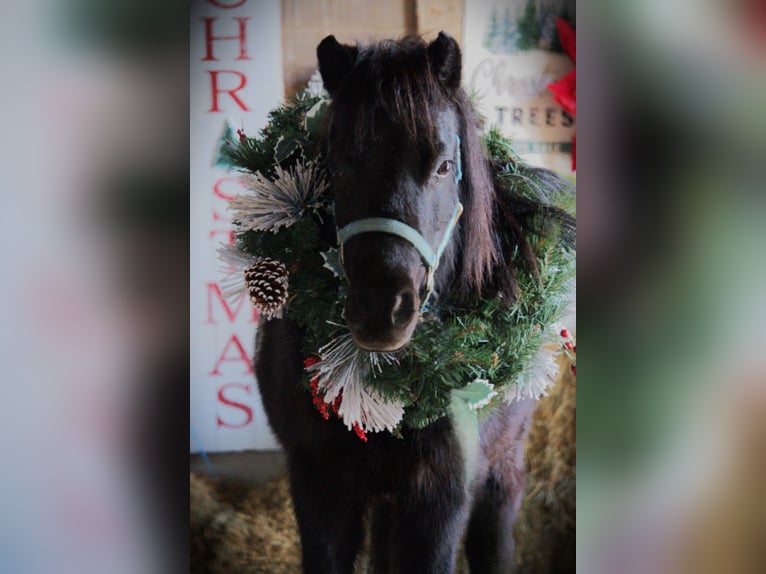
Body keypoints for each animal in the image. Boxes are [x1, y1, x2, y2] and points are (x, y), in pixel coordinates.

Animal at [254, 32, 573, 574]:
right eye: (336, 164)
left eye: (444, 165)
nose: (381, 312)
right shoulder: (318, 485)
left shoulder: (440, 501)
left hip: (502, 471)